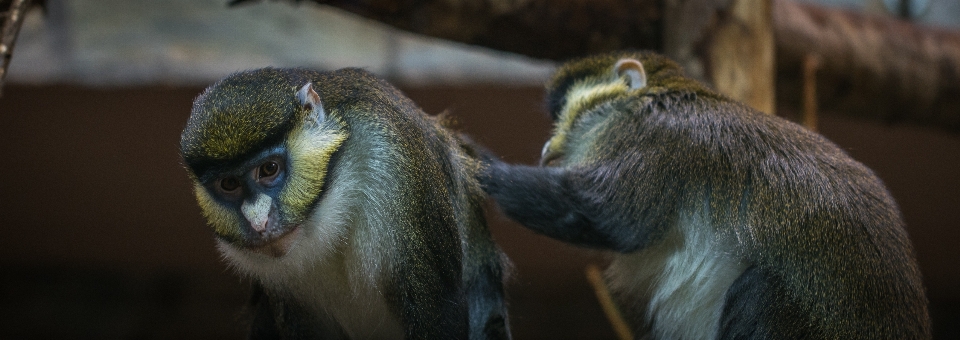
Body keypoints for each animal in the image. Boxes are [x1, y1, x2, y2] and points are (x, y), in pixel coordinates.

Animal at [480, 51, 928, 338]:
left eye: (561, 114)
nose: (546, 148)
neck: (654, 96)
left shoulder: (651, 135)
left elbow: (607, 217)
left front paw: (483, 165)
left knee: (760, 291)